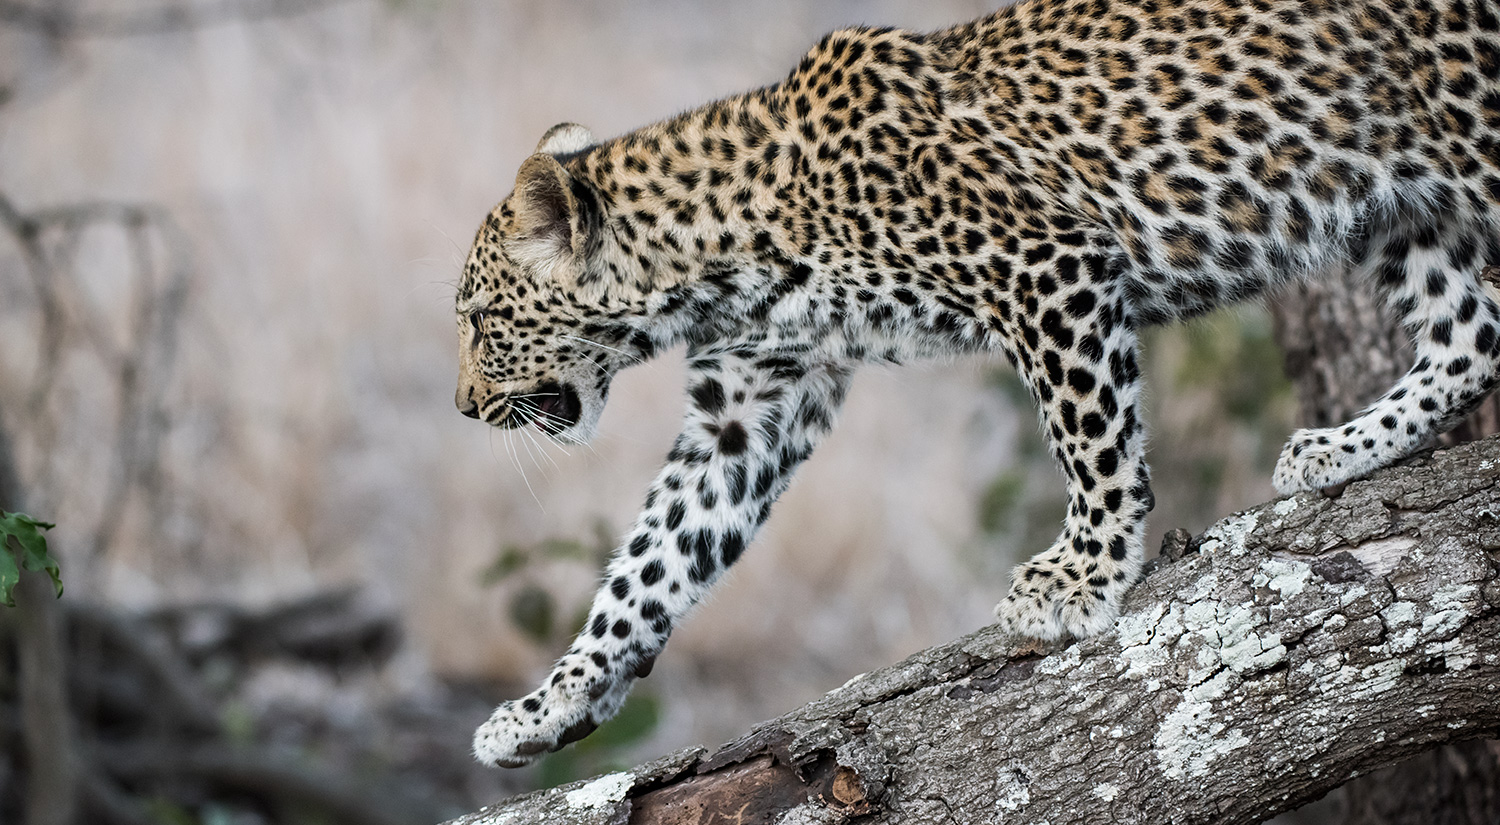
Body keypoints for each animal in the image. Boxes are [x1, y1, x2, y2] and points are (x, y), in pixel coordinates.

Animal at [455, 0, 1500, 767]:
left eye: (476, 319)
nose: (464, 406)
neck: (717, 257)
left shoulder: (1047, 268)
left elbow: (1091, 438)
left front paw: (1080, 576)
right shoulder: (751, 405)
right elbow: (651, 563)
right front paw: (548, 706)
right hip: (1410, 210)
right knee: (1473, 332)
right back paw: (1337, 449)